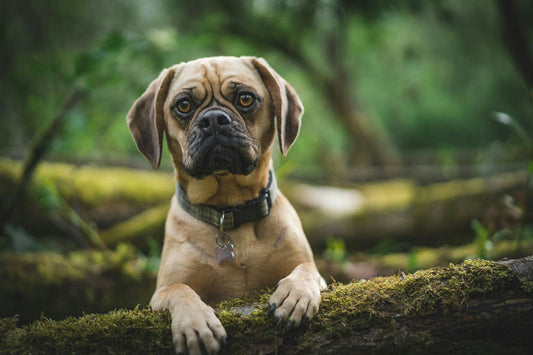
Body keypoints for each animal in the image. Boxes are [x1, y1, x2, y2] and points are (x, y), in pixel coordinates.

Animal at [127, 57, 326, 354]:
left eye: (245, 99)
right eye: (183, 105)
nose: (213, 120)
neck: (228, 211)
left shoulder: (313, 271)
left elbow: (307, 269)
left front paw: (295, 293)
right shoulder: (161, 292)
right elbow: (180, 290)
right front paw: (196, 323)